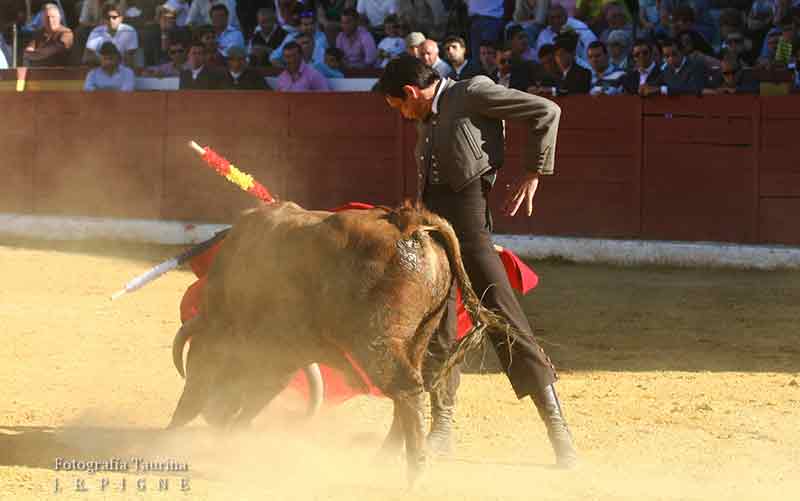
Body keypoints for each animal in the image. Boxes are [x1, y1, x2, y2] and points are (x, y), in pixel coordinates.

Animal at [168, 199, 512, 484]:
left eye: (206, 362)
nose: (212, 416)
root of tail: (408, 223)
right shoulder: (284, 356)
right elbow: (258, 397)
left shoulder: (271, 353)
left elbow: (241, 394)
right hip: (417, 338)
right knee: (412, 390)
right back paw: (384, 460)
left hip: (378, 344)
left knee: (406, 389)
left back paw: (414, 475)